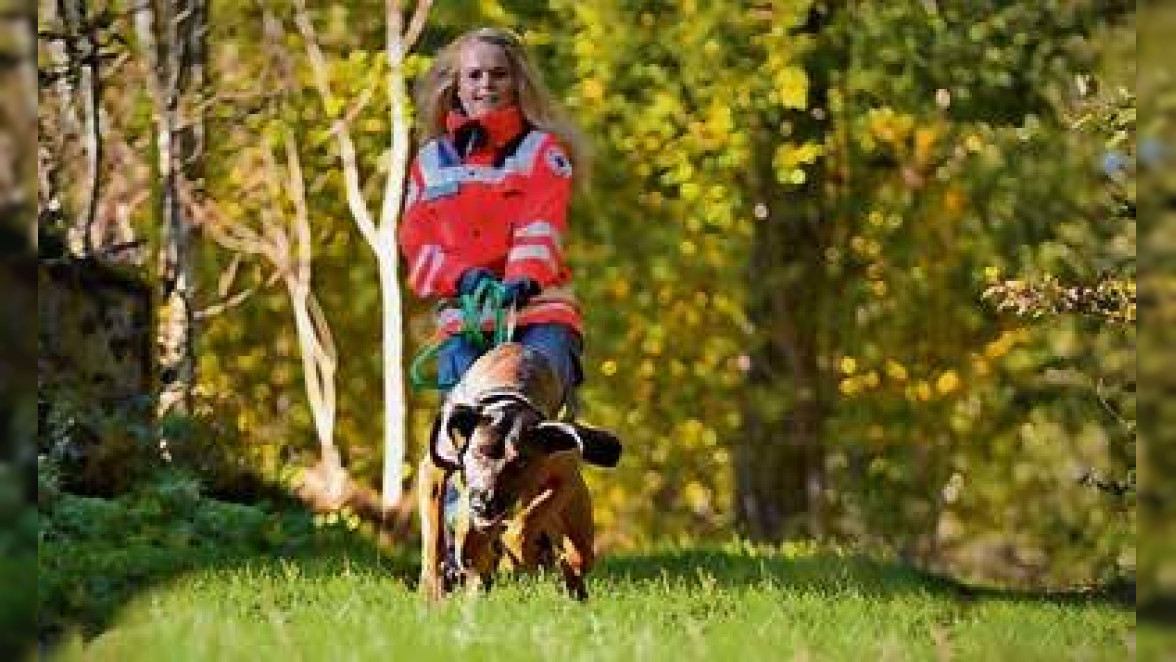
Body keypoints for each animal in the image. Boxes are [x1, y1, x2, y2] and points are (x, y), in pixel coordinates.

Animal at [416, 345, 620, 602]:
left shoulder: (563, 477)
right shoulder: (434, 470)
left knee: (576, 556)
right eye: (478, 452)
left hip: (575, 524)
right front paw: (432, 591)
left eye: (521, 462)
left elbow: (528, 519)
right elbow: (435, 536)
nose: (484, 503)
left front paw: (514, 551)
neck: (507, 394)